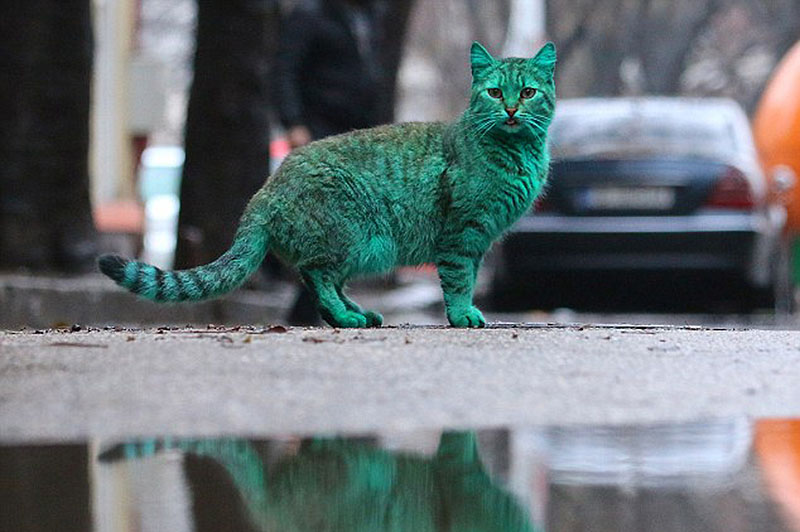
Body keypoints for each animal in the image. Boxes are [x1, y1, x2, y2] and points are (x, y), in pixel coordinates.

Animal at [100, 41, 556, 326]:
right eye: (495, 93)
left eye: (528, 92)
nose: (511, 109)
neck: (515, 152)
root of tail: (266, 188)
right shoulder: (462, 233)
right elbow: (460, 281)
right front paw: (463, 315)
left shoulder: (479, 241)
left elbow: (470, 278)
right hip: (348, 235)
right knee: (317, 276)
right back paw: (348, 316)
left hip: (359, 246)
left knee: (325, 280)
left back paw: (357, 313)